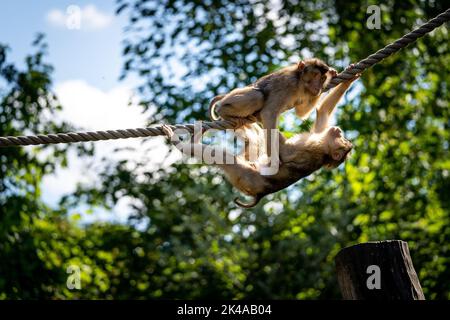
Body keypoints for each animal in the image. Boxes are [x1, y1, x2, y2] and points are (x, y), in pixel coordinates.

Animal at [162, 72, 358, 208]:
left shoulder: (314, 147)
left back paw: (184, 142)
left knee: (220, 156)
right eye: (343, 138)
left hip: (247, 177)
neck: (325, 151)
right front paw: (349, 79)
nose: (339, 131)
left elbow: (285, 153)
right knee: (254, 141)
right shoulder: (320, 138)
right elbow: (322, 112)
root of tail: (260, 194)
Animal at [207, 57, 338, 160]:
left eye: (322, 79)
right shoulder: (287, 83)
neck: (299, 81)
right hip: (232, 98)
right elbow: (268, 112)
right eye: (315, 75)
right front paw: (273, 156)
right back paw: (224, 112)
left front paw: (332, 74)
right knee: (258, 96)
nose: (318, 87)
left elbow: (301, 112)